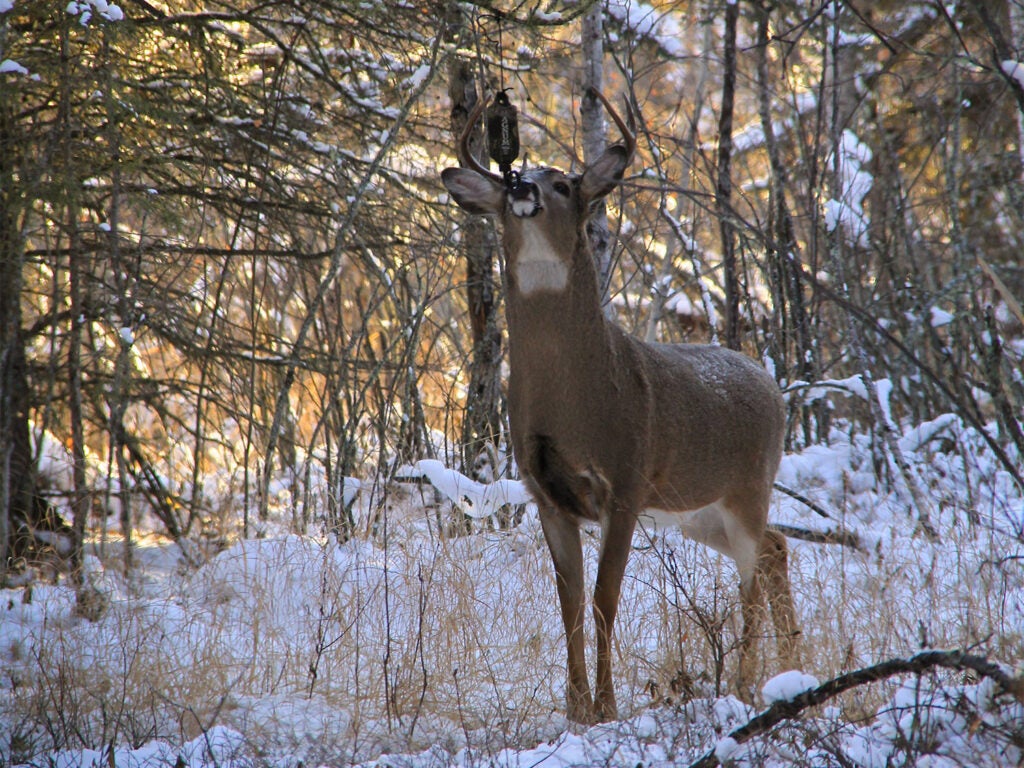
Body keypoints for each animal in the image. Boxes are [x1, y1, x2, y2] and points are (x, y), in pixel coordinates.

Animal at [440, 90, 798, 729]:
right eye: (510, 182)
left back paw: (747, 684)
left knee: (751, 578)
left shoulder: (625, 481)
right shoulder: (546, 494)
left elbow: (605, 598)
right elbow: (570, 602)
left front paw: (605, 707)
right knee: (776, 547)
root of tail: (771, 385)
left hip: (746, 486)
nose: (521, 188)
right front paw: (575, 707)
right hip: (696, 507)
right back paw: (787, 665)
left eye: (562, 183)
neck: (577, 399)